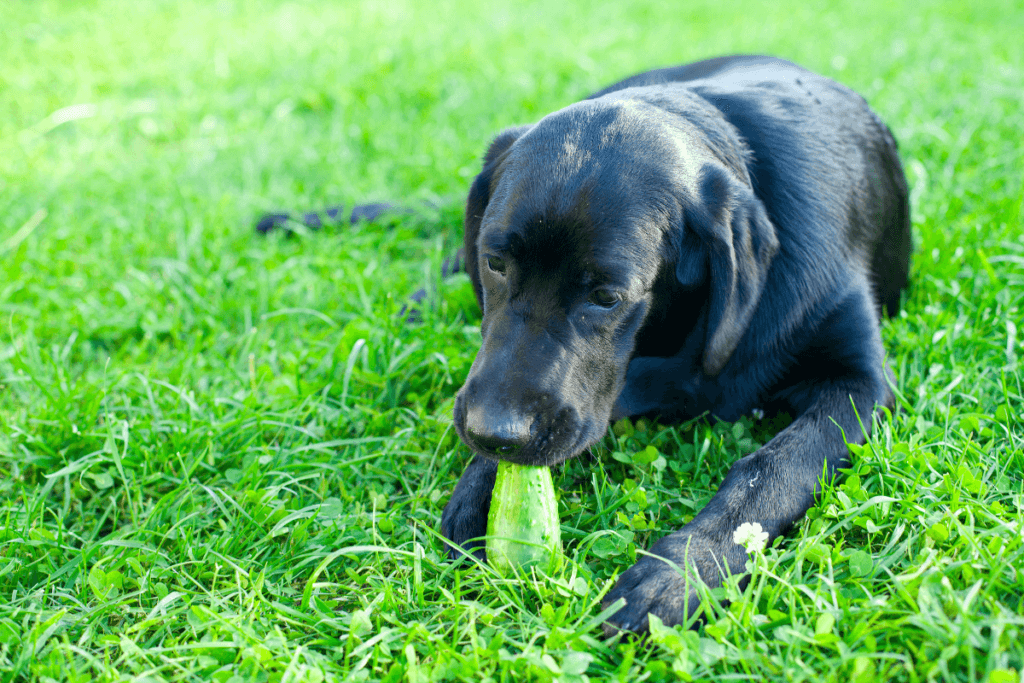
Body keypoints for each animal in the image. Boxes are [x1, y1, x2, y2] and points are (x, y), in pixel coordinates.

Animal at [436, 56, 909, 634]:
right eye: (494, 262)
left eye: (607, 296)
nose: (493, 434)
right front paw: (478, 489)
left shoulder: (860, 383)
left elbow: (774, 467)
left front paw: (680, 571)